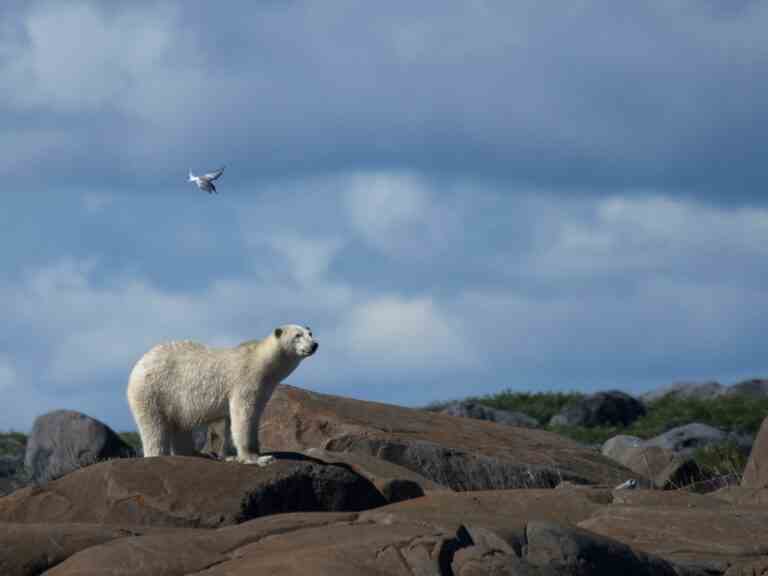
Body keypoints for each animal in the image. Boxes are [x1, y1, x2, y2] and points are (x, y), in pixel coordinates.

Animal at [127, 324, 318, 464]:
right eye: (297, 335)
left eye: (310, 333)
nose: (314, 345)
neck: (261, 361)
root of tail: (138, 365)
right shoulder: (245, 381)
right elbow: (243, 416)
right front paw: (258, 458)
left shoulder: (263, 389)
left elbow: (241, 420)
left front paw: (232, 455)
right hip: (154, 391)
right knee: (154, 428)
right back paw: (158, 454)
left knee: (179, 427)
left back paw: (194, 454)